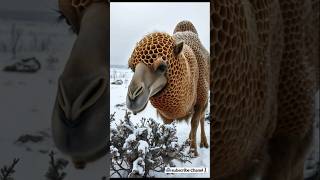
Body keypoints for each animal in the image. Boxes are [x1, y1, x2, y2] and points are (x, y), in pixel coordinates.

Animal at [126, 20, 211, 156]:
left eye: (161, 67)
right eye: (132, 68)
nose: (132, 96)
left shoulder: (200, 101)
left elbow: (195, 123)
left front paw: (193, 152)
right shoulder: (165, 114)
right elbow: (167, 129)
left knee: (202, 119)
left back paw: (204, 142)